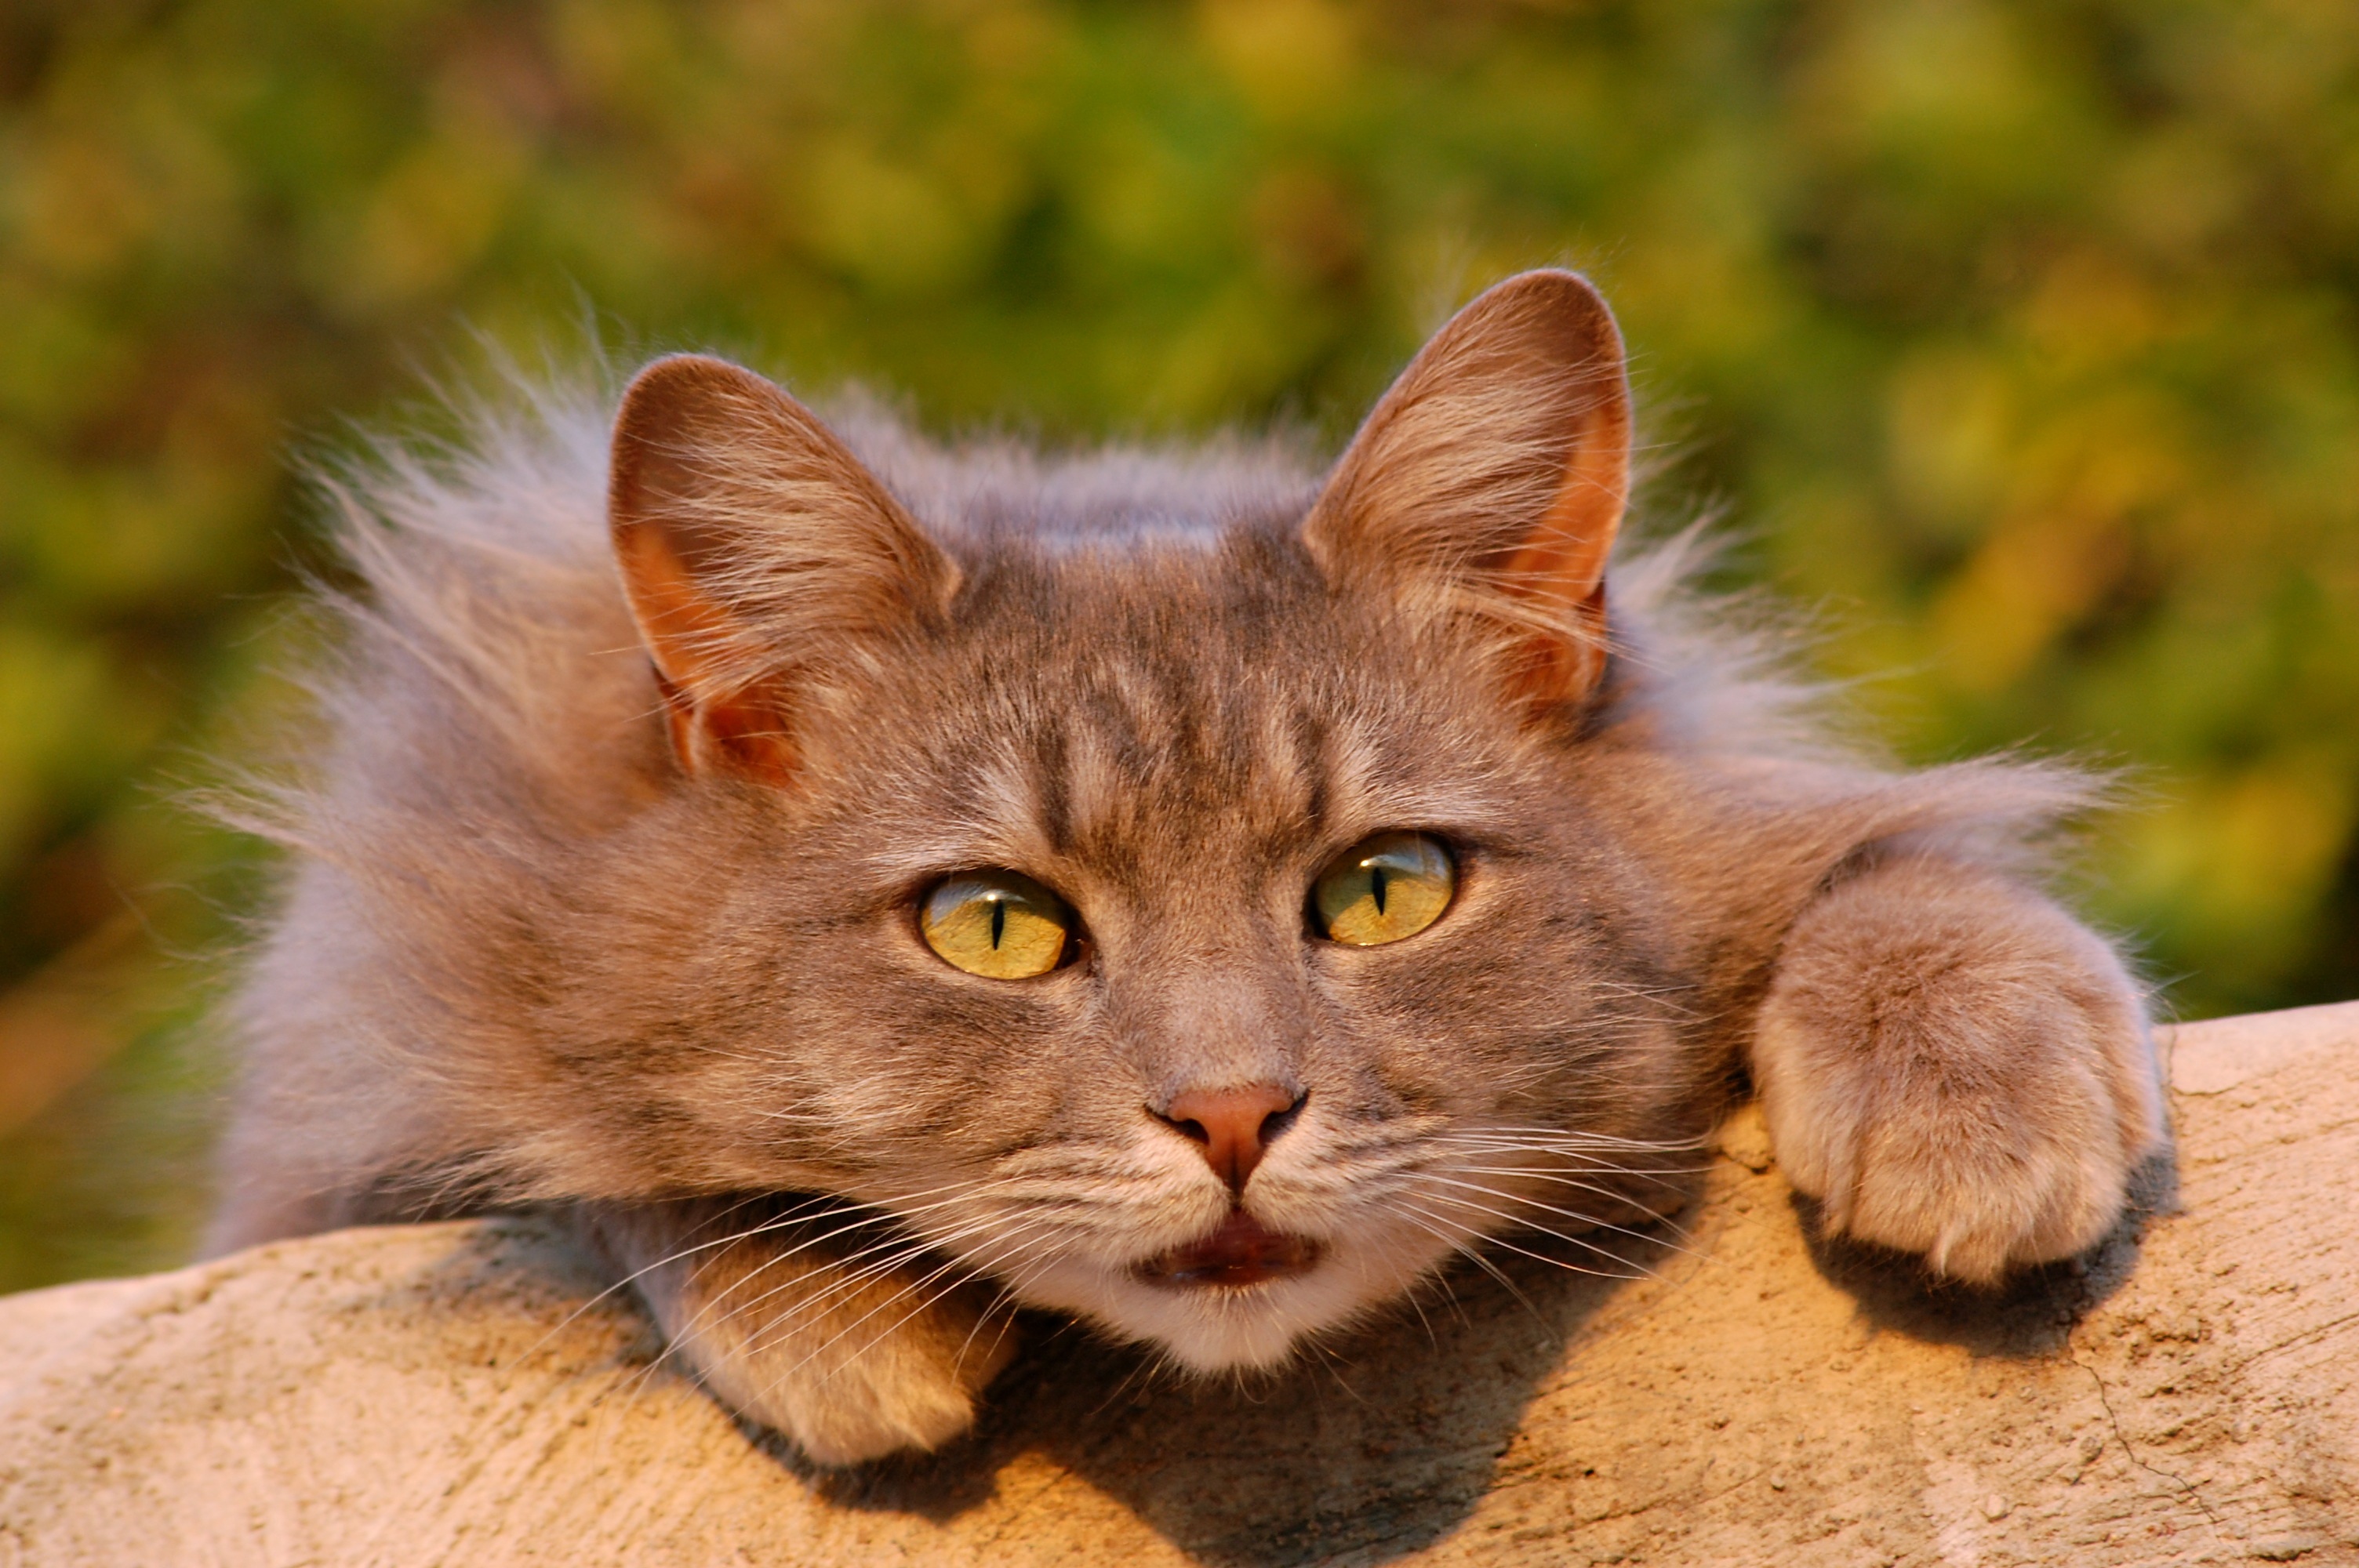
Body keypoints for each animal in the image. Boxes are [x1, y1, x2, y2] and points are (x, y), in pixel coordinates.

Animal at [212, 272, 2161, 1471]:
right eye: (995, 927)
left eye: (1383, 890)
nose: (1231, 1118)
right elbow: (580, 1162)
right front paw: (825, 1309)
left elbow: (1899, 869)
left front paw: (1971, 1091)